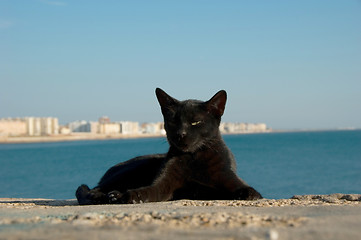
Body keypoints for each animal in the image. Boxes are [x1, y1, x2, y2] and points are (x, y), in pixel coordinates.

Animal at [76, 88, 262, 204]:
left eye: (195, 122)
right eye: (173, 121)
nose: (181, 133)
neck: (193, 158)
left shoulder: (227, 177)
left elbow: (247, 190)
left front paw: (248, 194)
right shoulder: (164, 183)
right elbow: (147, 191)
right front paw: (128, 196)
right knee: (92, 189)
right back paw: (105, 195)